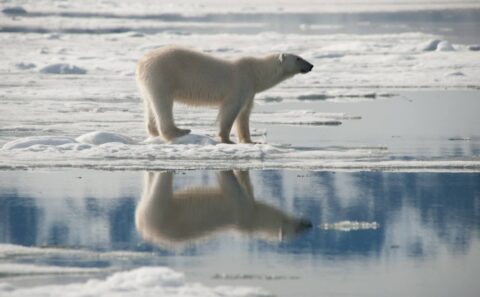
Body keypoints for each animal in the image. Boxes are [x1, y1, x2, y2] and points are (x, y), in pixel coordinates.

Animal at [136, 45, 316, 143]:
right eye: (298, 58)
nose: (311, 65)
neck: (255, 72)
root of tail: (142, 62)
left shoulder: (249, 90)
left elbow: (244, 114)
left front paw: (250, 141)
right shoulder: (239, 85)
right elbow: (231, 111)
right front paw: (226, 139)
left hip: (148, 83)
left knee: (150, 104)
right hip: (163, 75)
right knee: (163, 104)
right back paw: (180, 131)